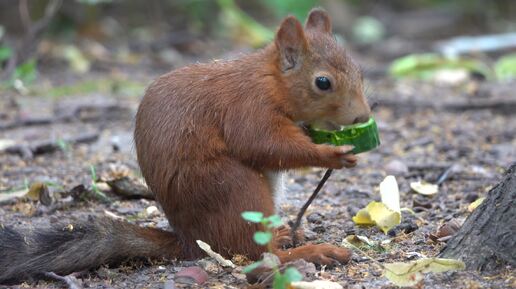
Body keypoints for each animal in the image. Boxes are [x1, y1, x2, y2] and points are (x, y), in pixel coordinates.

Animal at [0, 7, 370, 282]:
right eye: (323, 82)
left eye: (359, 71)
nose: (362, 116)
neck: (272, 83)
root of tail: (190, 242)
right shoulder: (248, 109)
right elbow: (265, 146)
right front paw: (331, 154)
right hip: (234, 189)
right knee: (256, 254)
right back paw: (309, 253)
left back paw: (287, 234)